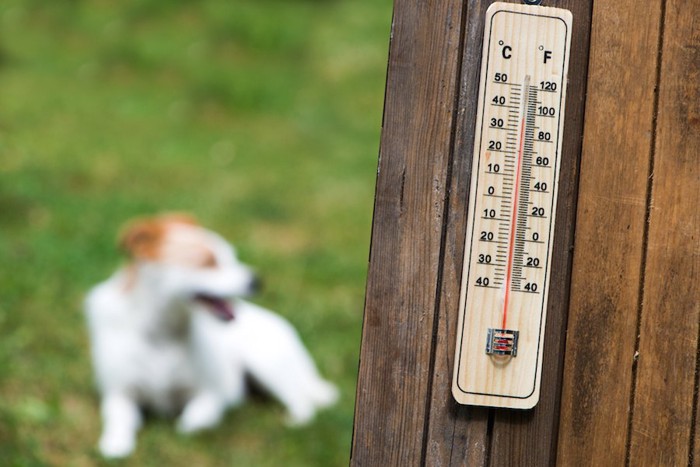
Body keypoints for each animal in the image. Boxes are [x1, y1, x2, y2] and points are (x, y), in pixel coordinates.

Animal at [85, 214, 340, 458]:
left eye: (231, 257)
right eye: (208, 262)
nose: (257, 281)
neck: (163, 333)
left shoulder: (214, 393)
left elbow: (191, 421)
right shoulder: (118, 393)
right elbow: (118, 420)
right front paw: (115, 444)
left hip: (269, 366)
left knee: (301, 399)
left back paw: (294, 421)